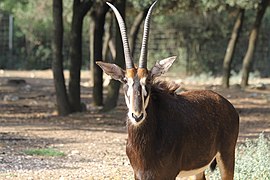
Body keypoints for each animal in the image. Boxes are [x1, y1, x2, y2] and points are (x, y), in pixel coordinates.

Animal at [96, 1, 238, 179]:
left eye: (148, 80)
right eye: (125, 80)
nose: (137, 115)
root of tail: (227, 105)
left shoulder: (169, 174)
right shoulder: (138, 174)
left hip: (227, 155)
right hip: (200, 168)